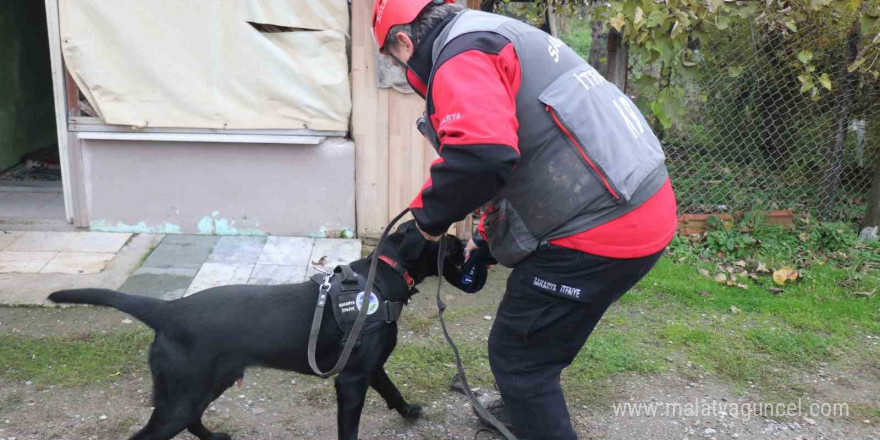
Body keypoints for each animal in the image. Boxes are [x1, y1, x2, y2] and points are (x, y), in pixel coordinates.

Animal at [47, 223, 464, 440]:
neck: (385, 274)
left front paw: (410, 412)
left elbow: (393, 392)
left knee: (194, 421)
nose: (466, 241)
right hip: (182, 397)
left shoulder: (369, 368)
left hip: (205, 386)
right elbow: (351, 427)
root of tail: (169, 310)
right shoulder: (351, 380)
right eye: (449, 242)